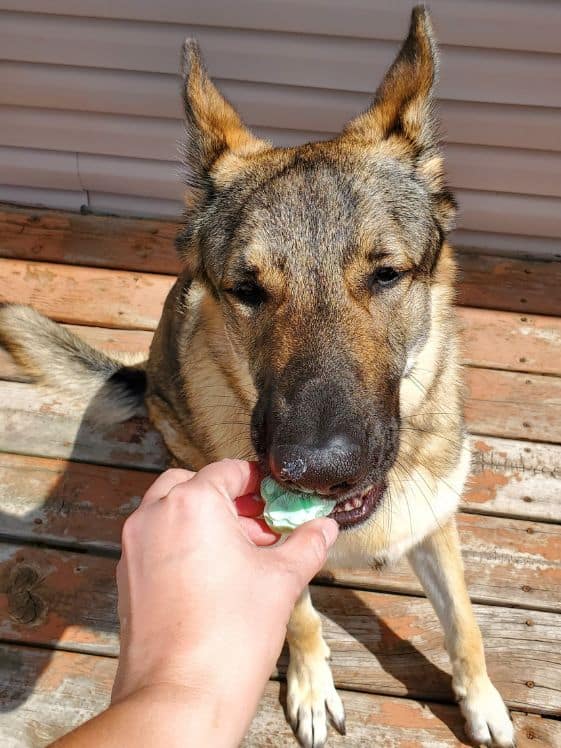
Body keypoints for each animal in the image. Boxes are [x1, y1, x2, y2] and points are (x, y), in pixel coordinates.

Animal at [0, 7, 516, 748]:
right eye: (246, 290)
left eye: (386, 274)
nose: (318, 469)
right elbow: (298, 616)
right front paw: (311, 687)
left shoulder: (436, 524)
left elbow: (464, 623)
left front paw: (481, 702)